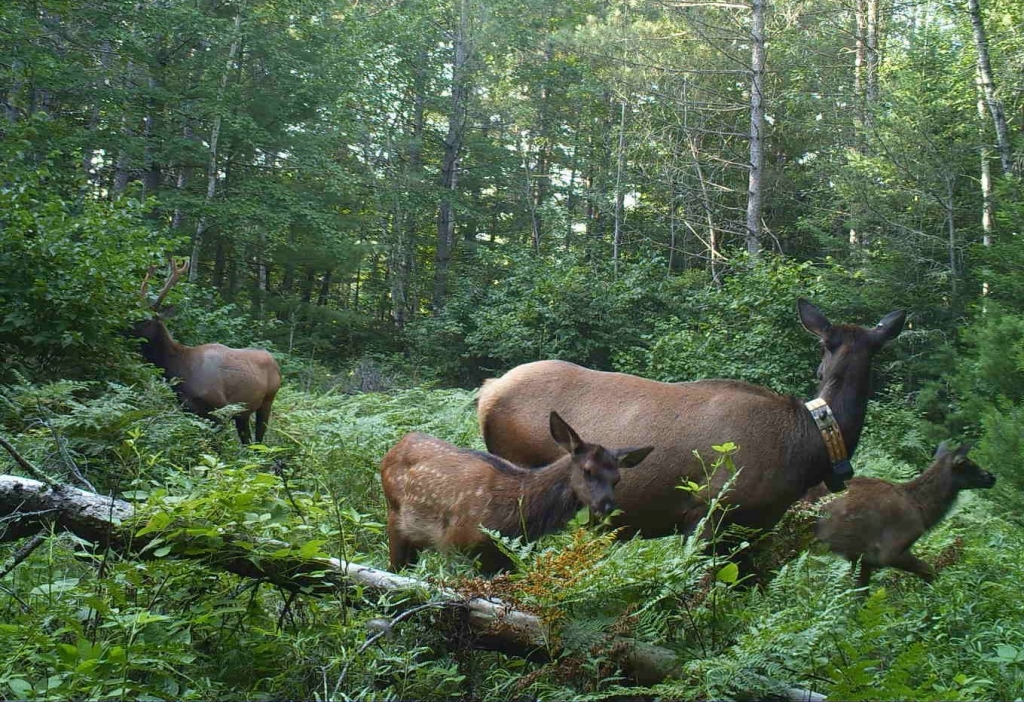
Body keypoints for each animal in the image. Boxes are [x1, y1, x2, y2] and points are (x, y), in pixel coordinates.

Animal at [134, 258, 284, 446]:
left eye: (146, 320)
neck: (180, 369)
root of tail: (276, 364)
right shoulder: (189, 409)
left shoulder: (219, 407)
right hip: (244, 410)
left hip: (268, 400)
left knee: (259, 439)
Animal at [380, 415, 651, 573]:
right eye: (587, 470)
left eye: (617, 479)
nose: (606, 506)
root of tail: (395, 446)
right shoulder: (454, 543)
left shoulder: (507, 557)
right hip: (395, 517)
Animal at [815, 446, 991, 589]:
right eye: (968, 464)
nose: (991, 477)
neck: (922, 510)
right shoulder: (889, 552)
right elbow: (930, 572)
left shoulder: (864, 559)